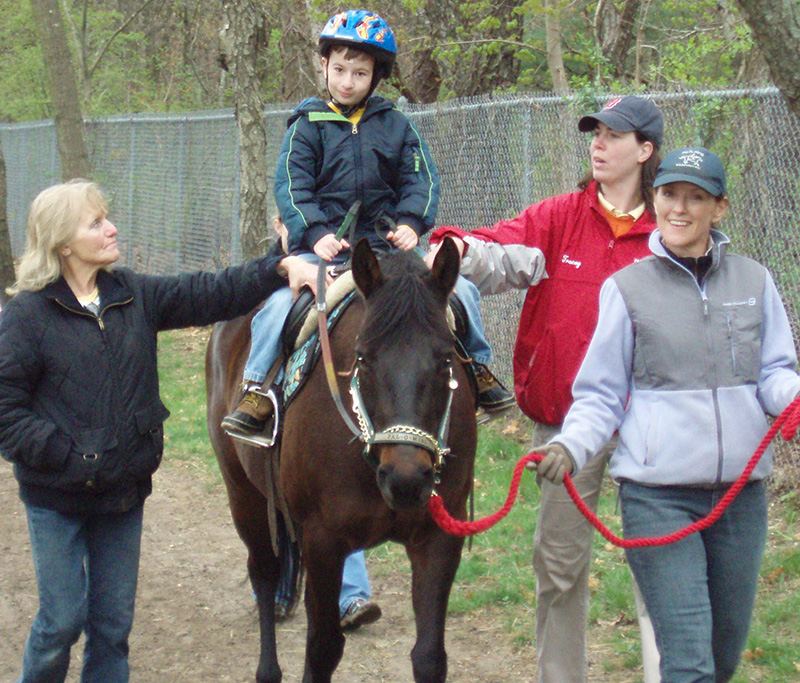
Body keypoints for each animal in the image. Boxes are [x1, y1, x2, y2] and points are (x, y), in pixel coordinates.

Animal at [206, 238, 476, 680]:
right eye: (363, 357)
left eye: (445, 359)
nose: (406, 480)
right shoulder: (323, 540)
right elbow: (323, 648)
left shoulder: (438, 537)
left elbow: (429, 656)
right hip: (243, 494)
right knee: (264, 572)